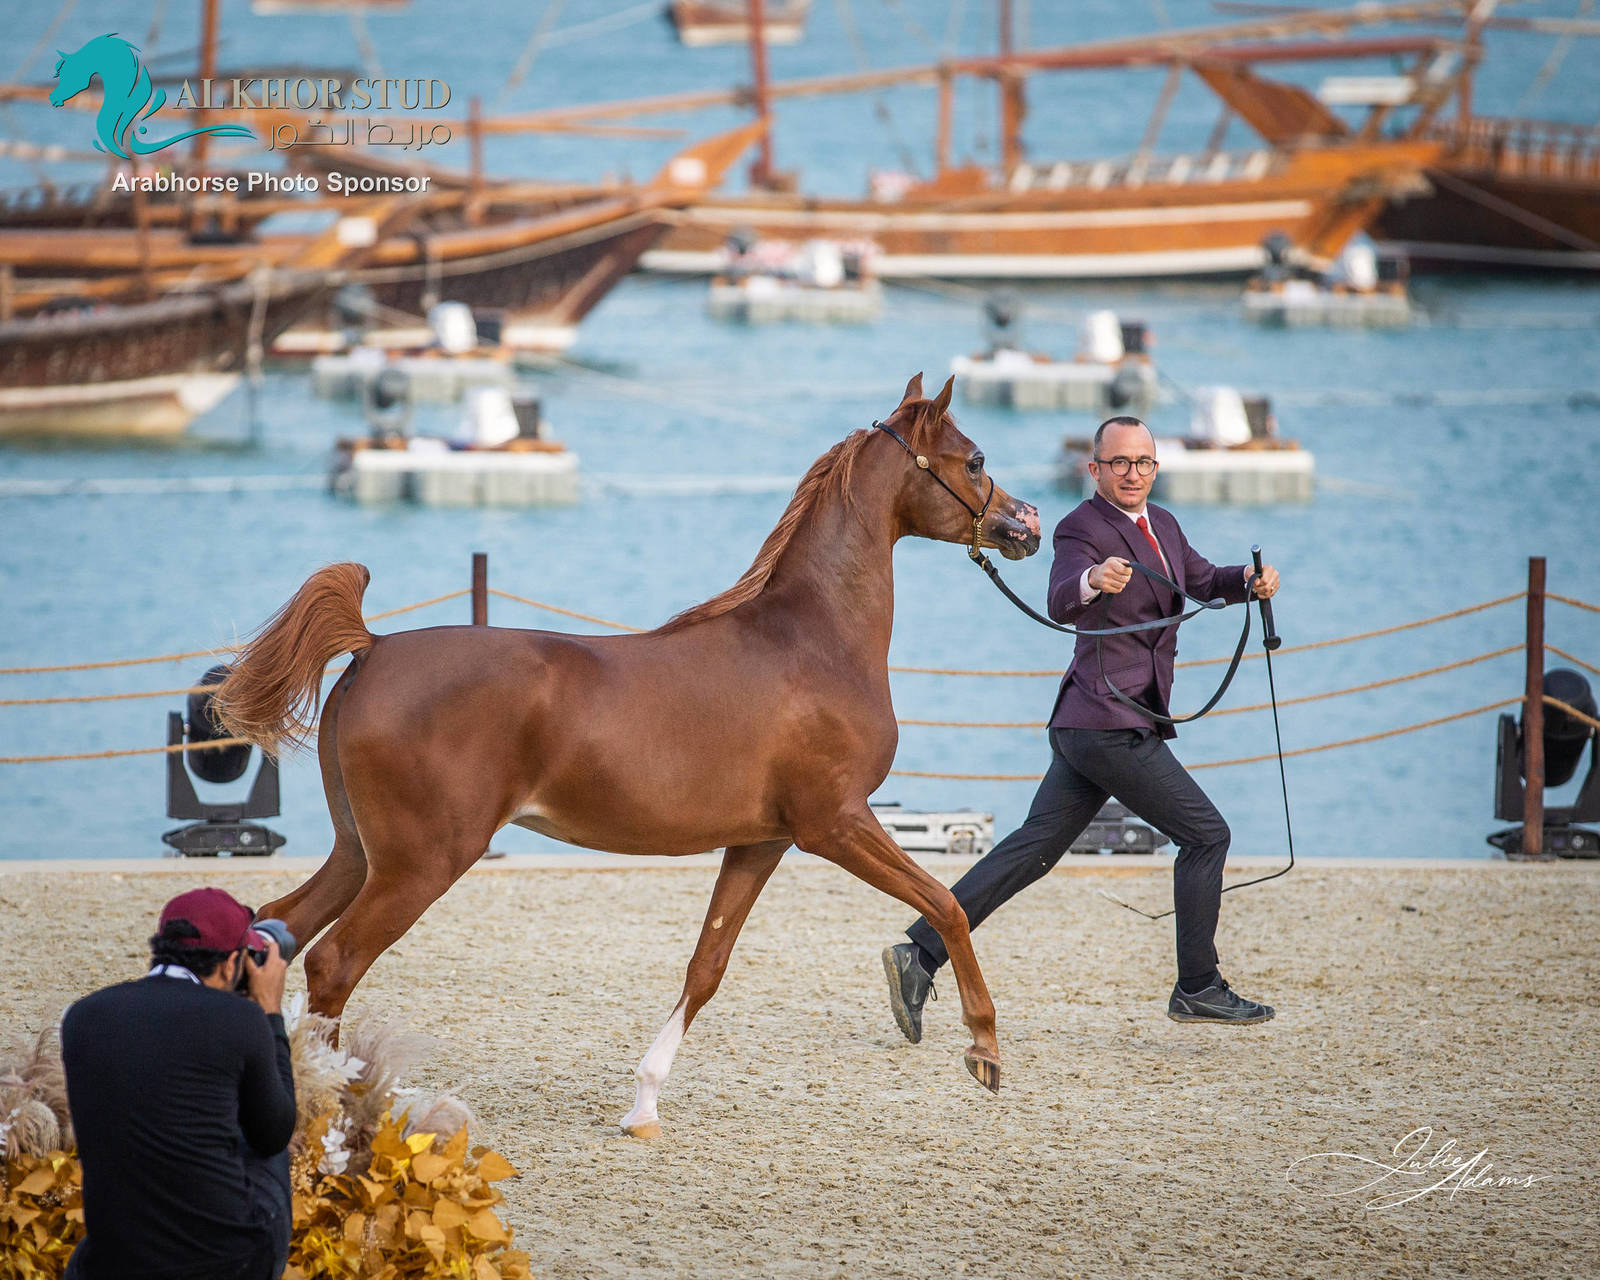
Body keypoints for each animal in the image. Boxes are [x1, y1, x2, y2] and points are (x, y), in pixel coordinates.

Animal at [214, 374, 1042, 1137]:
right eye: (974, 460)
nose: (1026, 527)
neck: (810, 642)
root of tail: (372, 647)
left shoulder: (761, 842)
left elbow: (706, 968)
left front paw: (643, 1106)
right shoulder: (836, 824)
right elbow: (947, 904)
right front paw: (985, 1051)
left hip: (359, 852)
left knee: (278, 928)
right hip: (421, 862)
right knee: (333, 961)